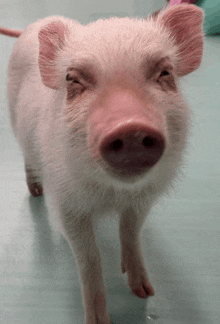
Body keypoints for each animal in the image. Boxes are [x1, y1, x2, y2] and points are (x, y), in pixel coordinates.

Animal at [0, 3, 204, 324]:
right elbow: (88, 257)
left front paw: (145, 292)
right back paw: (35, 192)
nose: (130, 127)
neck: (112, 196)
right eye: (73, 79)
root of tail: (32, 26)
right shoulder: (67, 204)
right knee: (27, 157)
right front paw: (98, 319)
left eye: (165, 72)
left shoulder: (143, 199)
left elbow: (131, 232)